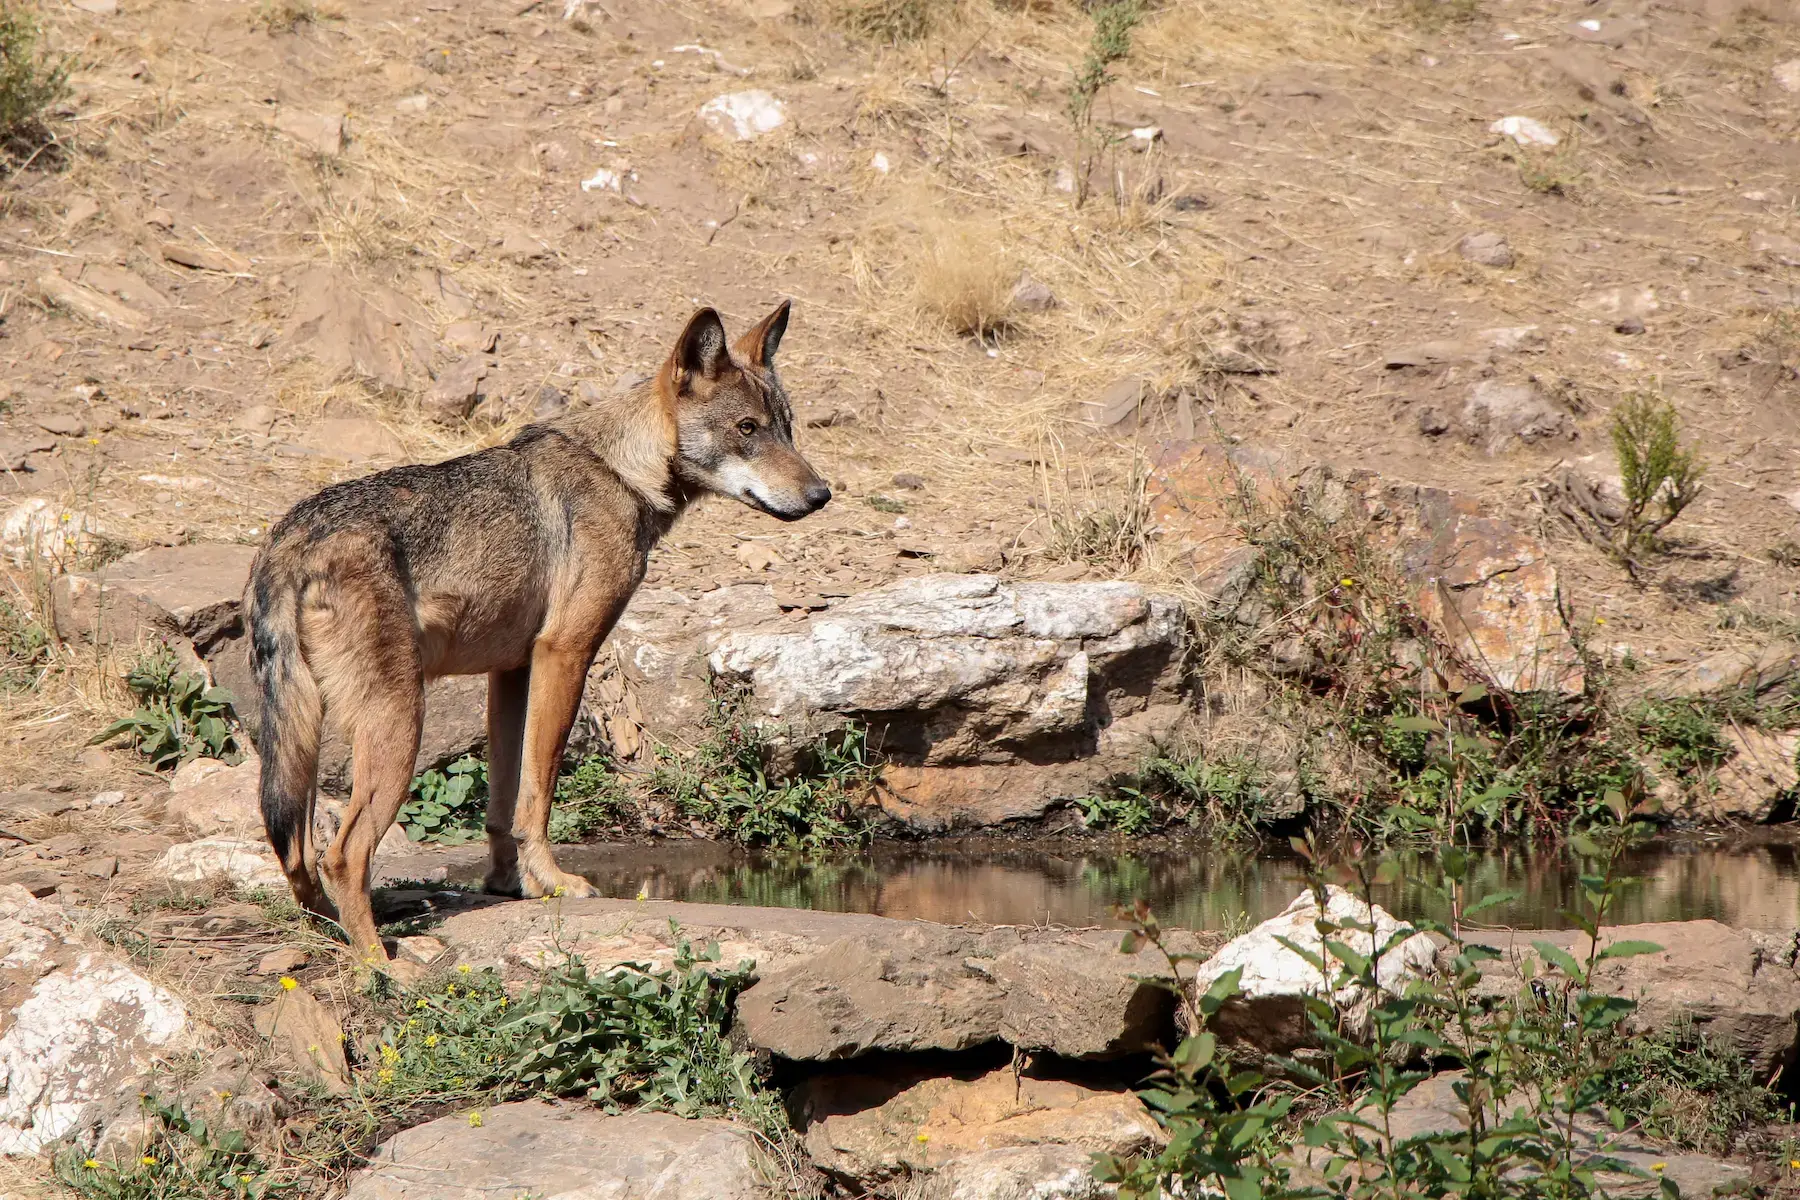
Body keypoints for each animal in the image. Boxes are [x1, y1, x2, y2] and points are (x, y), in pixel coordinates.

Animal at [243, 302, 830, 967]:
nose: (821, 495)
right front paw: (553, 883)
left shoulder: (512, 671)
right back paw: (384, 967)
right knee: (341, 854)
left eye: (787, 427)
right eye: (747, 428)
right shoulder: (566, 653)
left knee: (297, 853)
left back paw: (334, 933)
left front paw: (509, 884)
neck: (622, 471)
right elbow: (539, 792)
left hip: (308, 736)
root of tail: (290, 541)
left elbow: (502, 803)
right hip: (399, 726)